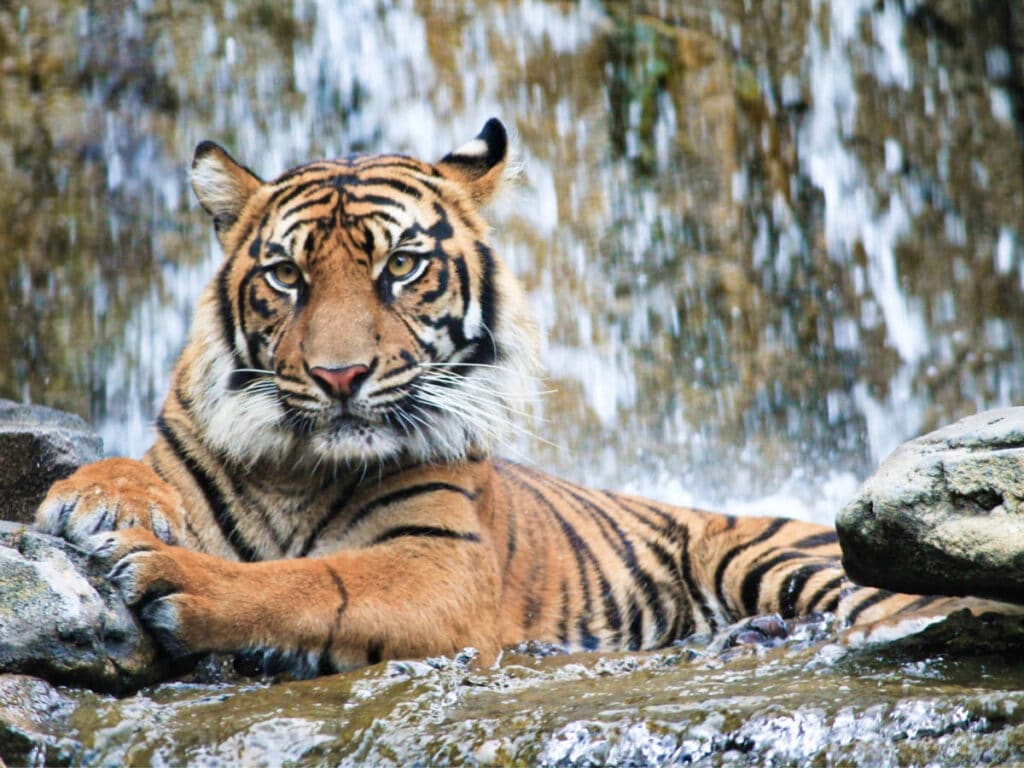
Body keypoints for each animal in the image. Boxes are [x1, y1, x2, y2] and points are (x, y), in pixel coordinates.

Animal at [35, 118, 1004, 675]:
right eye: (285, 275)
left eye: (401, 266)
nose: (340, 377)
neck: (298, 468)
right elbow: (135, 468)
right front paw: (92, 500)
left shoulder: (440, 564)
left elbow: (316, 577)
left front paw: (168, 573)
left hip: (791, 559)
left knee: (931, 614)